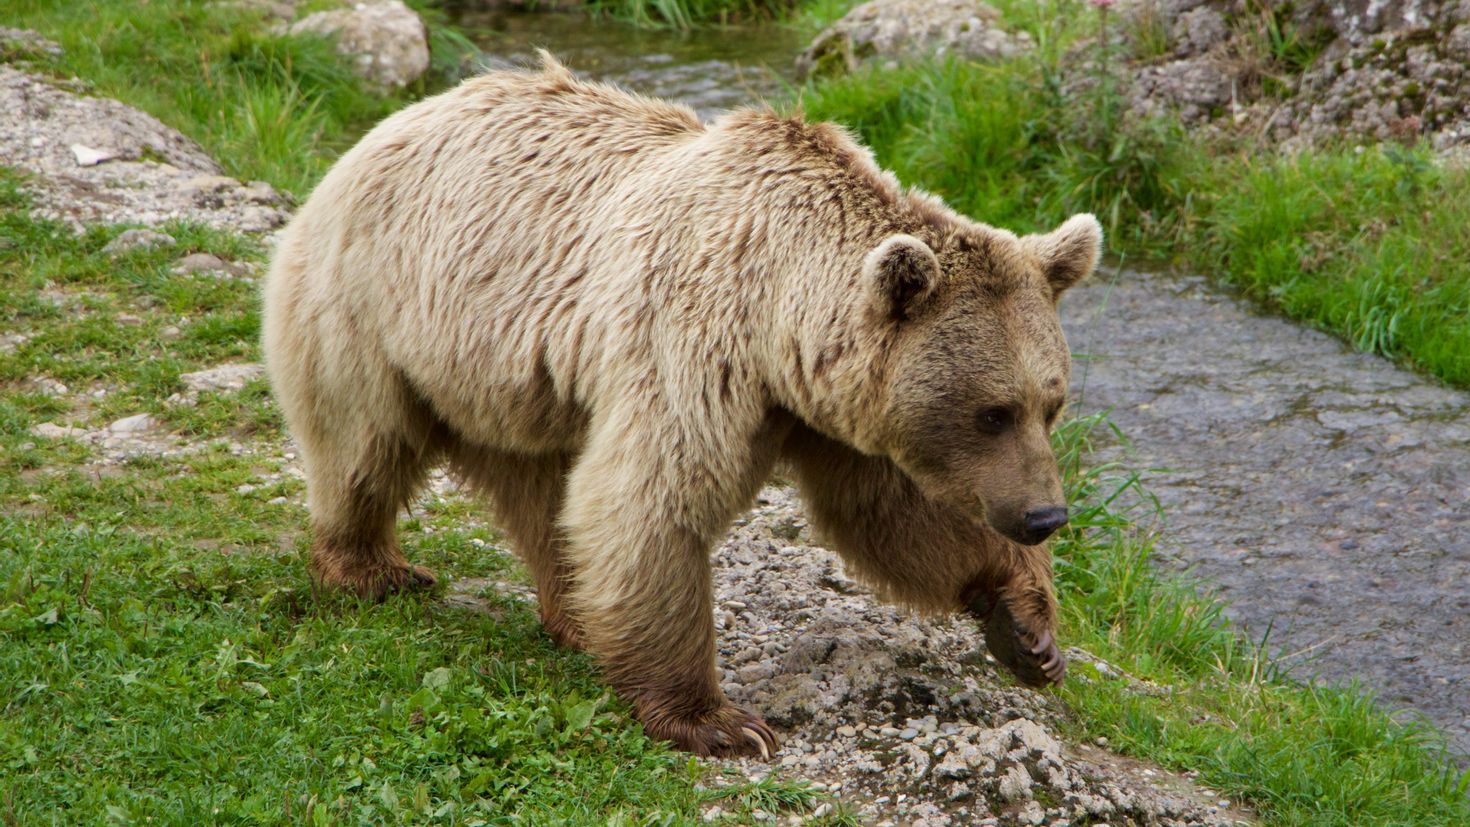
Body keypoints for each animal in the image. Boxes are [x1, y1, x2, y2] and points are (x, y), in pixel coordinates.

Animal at [258, 55, 1099, 757]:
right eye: (992, 411)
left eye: (1051, 403)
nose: (1045, 515)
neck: (780, 317)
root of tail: (382, 129)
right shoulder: (694, 342)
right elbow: (654, 500)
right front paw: (718, 720)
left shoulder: (830, 409)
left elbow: (891, 513)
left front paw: (1028, 628)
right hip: (379, 308)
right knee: (364, 443)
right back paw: (373, 568)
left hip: (512, 381)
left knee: (543, 491)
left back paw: (574, 612)